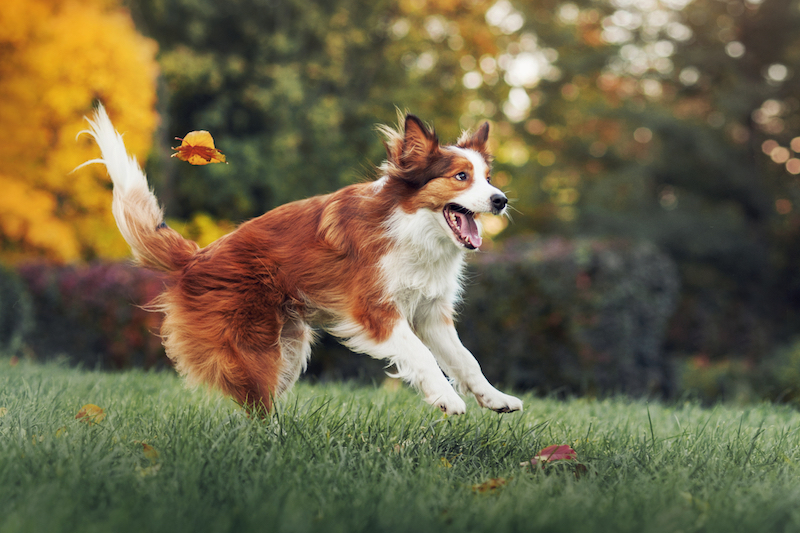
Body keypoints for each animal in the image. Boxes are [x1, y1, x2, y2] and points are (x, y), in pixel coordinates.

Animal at [79, 103, 520, 412]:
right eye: (461, 177)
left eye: (488, 178)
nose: (501, 200)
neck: (413, 227)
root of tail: (195, 257)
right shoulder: (376, 312)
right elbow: (422, 356)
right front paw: (448, 400)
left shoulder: (430, 312)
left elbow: (466, 359)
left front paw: (495, 398)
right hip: (255, 347)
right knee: (258, 407)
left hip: (289, 347)